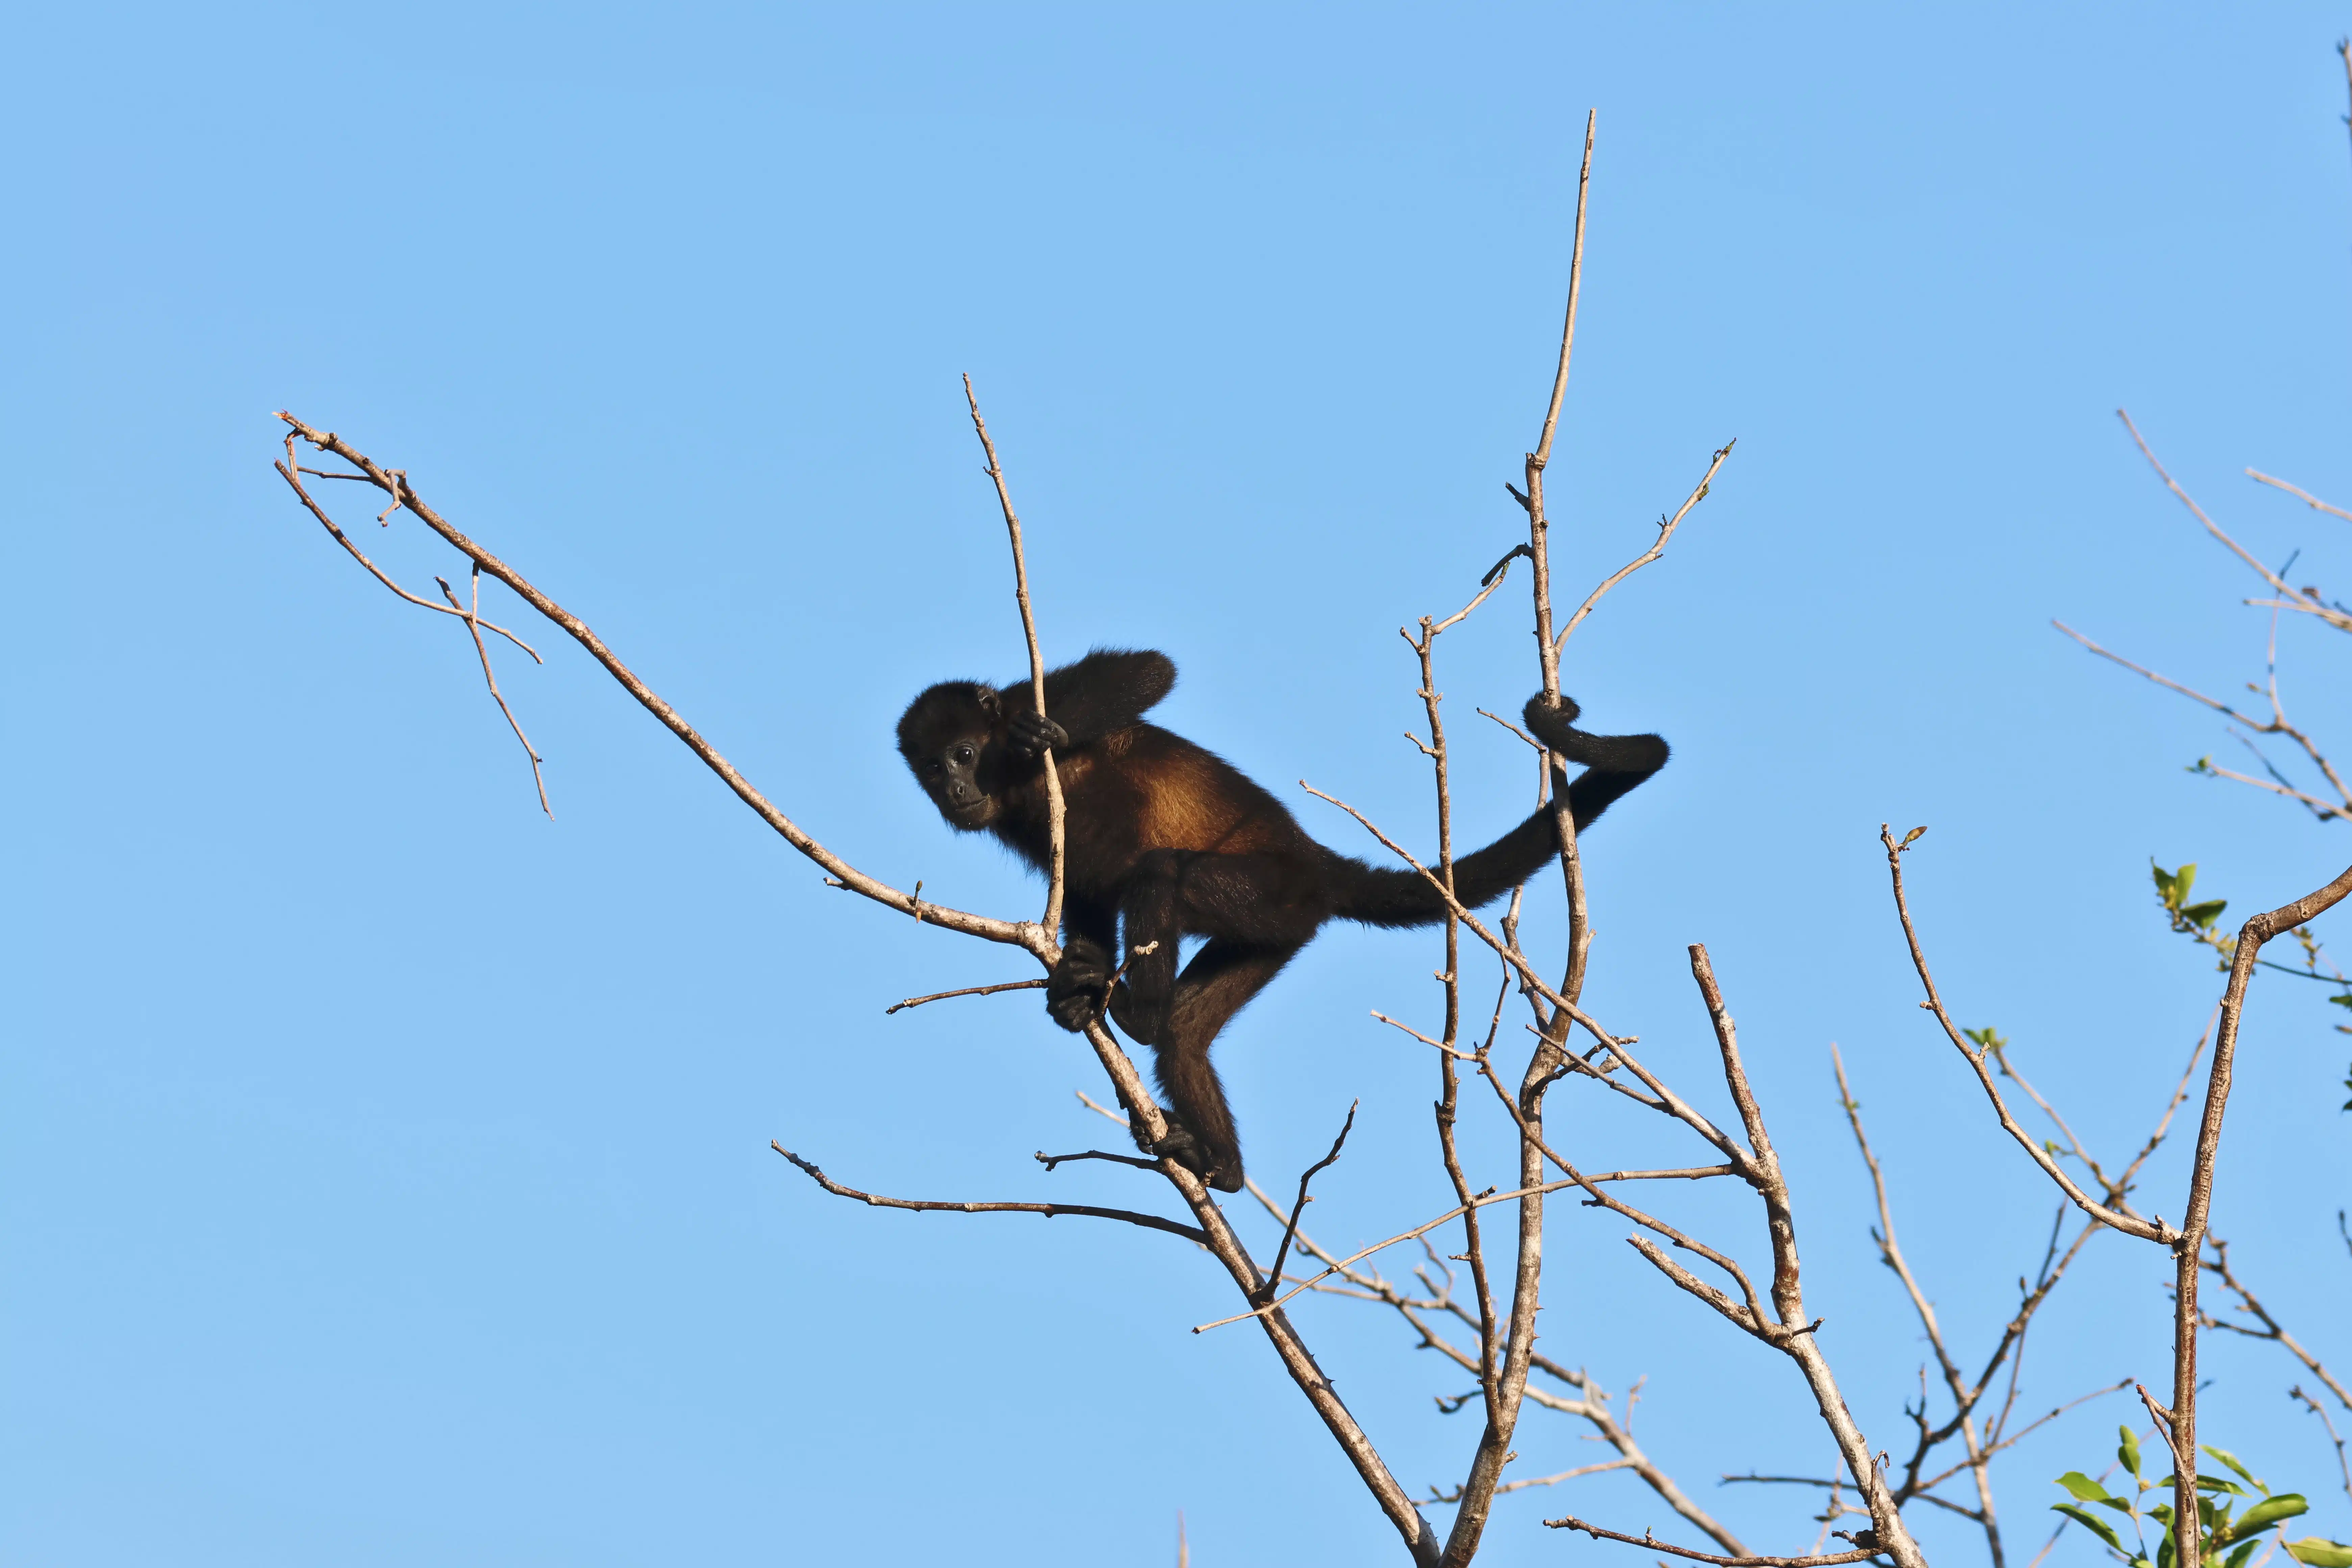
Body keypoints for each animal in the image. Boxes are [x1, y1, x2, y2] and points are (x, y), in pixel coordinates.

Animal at [896, 648, 1667, 1192]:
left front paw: (1040, 735)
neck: (1012, 790)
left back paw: (1141, 1016)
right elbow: (1083, 891)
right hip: (1274, 934)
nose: (955, 788)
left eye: (966, 753)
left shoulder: (1033, 696)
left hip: (1267, 893)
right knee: (1185, 1033)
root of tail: (1316, 865)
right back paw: (1219, 1164)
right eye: (932, 767)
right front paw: (1078, 986)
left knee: (1160, 876)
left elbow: (1147, 670)